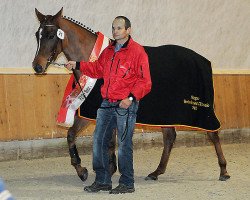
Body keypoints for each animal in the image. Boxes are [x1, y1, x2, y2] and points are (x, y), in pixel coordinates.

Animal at [32, 8, 230, 181]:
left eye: (51, 35)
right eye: (37, 34)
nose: (37, 66)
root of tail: (204, 61)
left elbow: (103, 141)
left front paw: (98, 171)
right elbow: (73, 136)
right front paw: (89, 170)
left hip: (202, 112)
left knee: (213, 134)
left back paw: (223, 171)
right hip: (165, 114)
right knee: (169, 137)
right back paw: (156, 172)